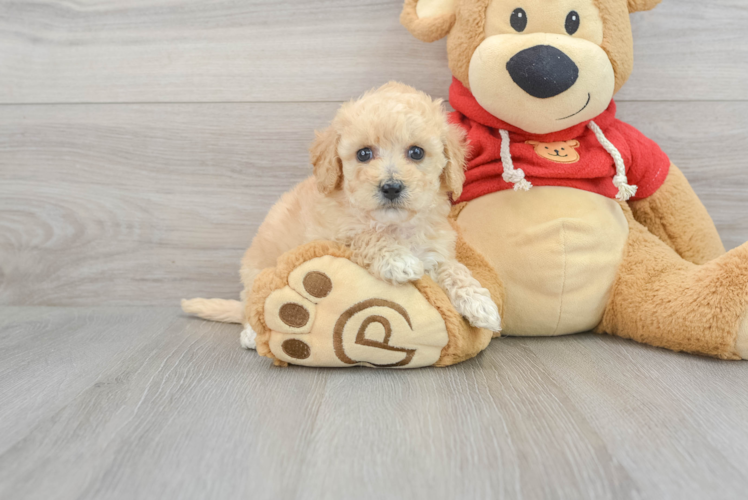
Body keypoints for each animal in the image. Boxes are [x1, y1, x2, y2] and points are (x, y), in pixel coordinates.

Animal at [181, 82, 500, 348]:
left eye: (417, 152)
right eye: (363, 154)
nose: (391, 187)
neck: (392, 225)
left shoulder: (435, 250)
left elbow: (455, 269)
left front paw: (480, 303)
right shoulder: (331, 235)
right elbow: (363, 236)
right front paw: (398, 260)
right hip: (255, 274)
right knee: (251, 306)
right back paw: (249, 334)